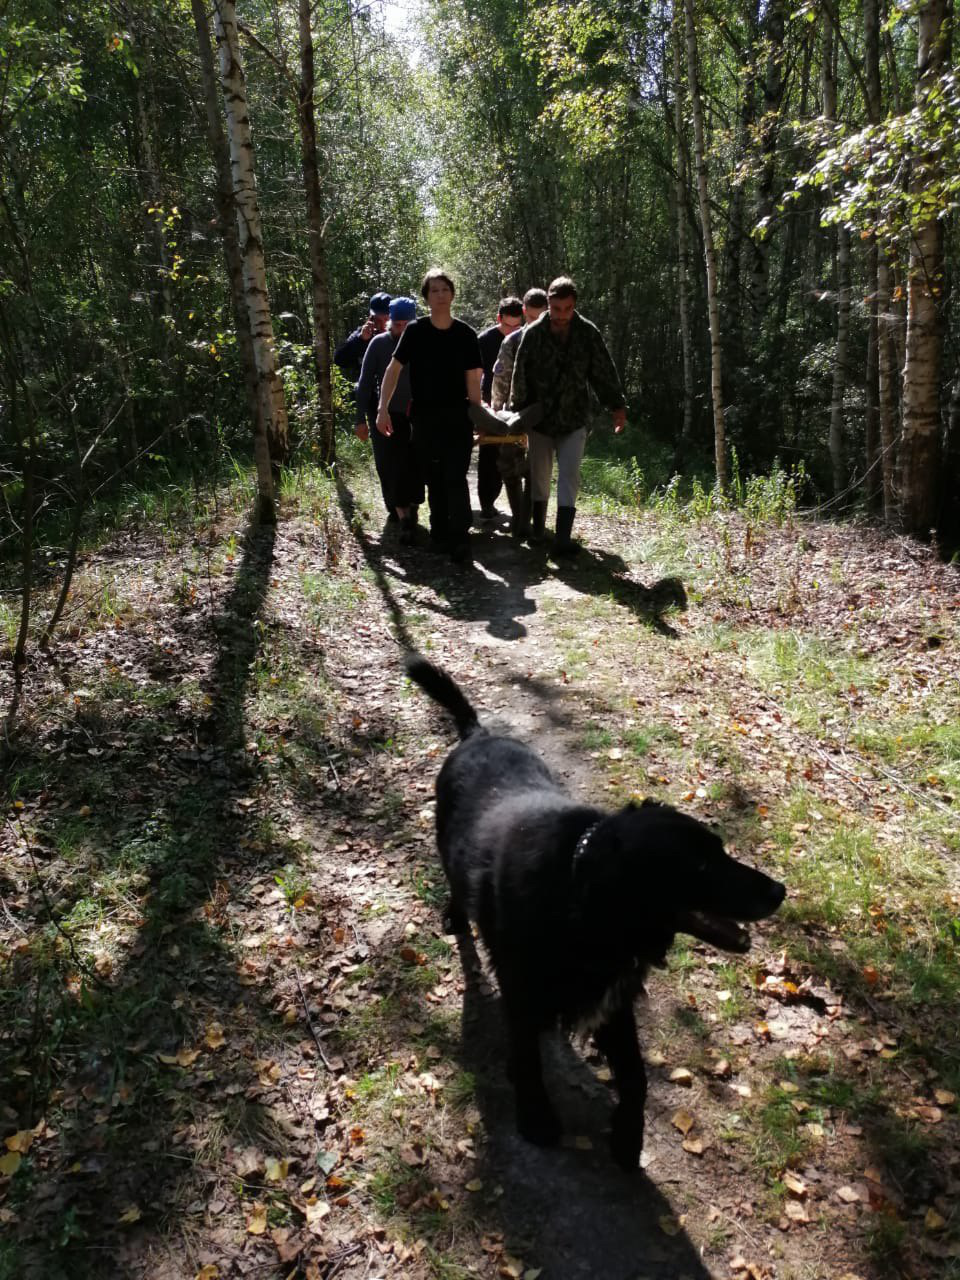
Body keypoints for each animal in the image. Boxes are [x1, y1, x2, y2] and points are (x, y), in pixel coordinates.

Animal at [407, 660, 788, 1172]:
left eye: (721, 851)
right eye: (702, 866)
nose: (779, 891)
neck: (582, 901)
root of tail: (477, 733)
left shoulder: (613, 1001)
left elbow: (636, 1076)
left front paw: (628, 1137)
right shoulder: (525, 993)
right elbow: (528, 1059)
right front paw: (536, 1117)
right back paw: (454, 915)